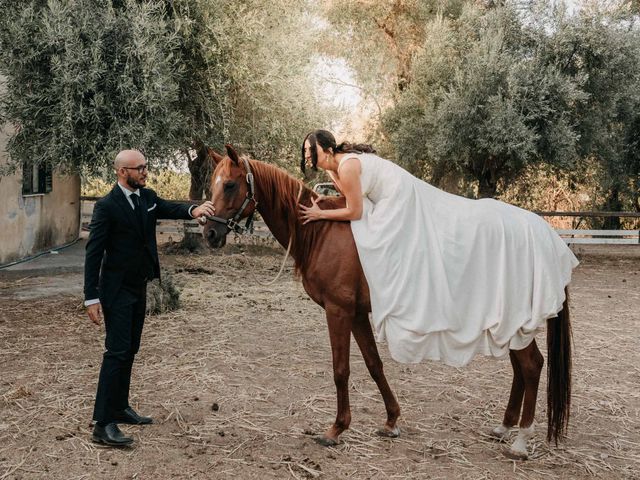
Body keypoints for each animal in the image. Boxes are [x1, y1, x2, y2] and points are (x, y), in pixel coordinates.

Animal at [202, 144, 572, 460]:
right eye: (212, 185)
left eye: (231, 185)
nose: (209, 233)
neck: (322, 231)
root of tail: (544, 233)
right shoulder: (356, 314)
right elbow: (373, 364)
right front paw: (391, 421)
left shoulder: (338, 311)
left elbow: (341, 370)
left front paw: (336, 429)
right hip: (509, 325)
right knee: (521, 368)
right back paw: (504, 427)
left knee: (531, 366)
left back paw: (520, 442)